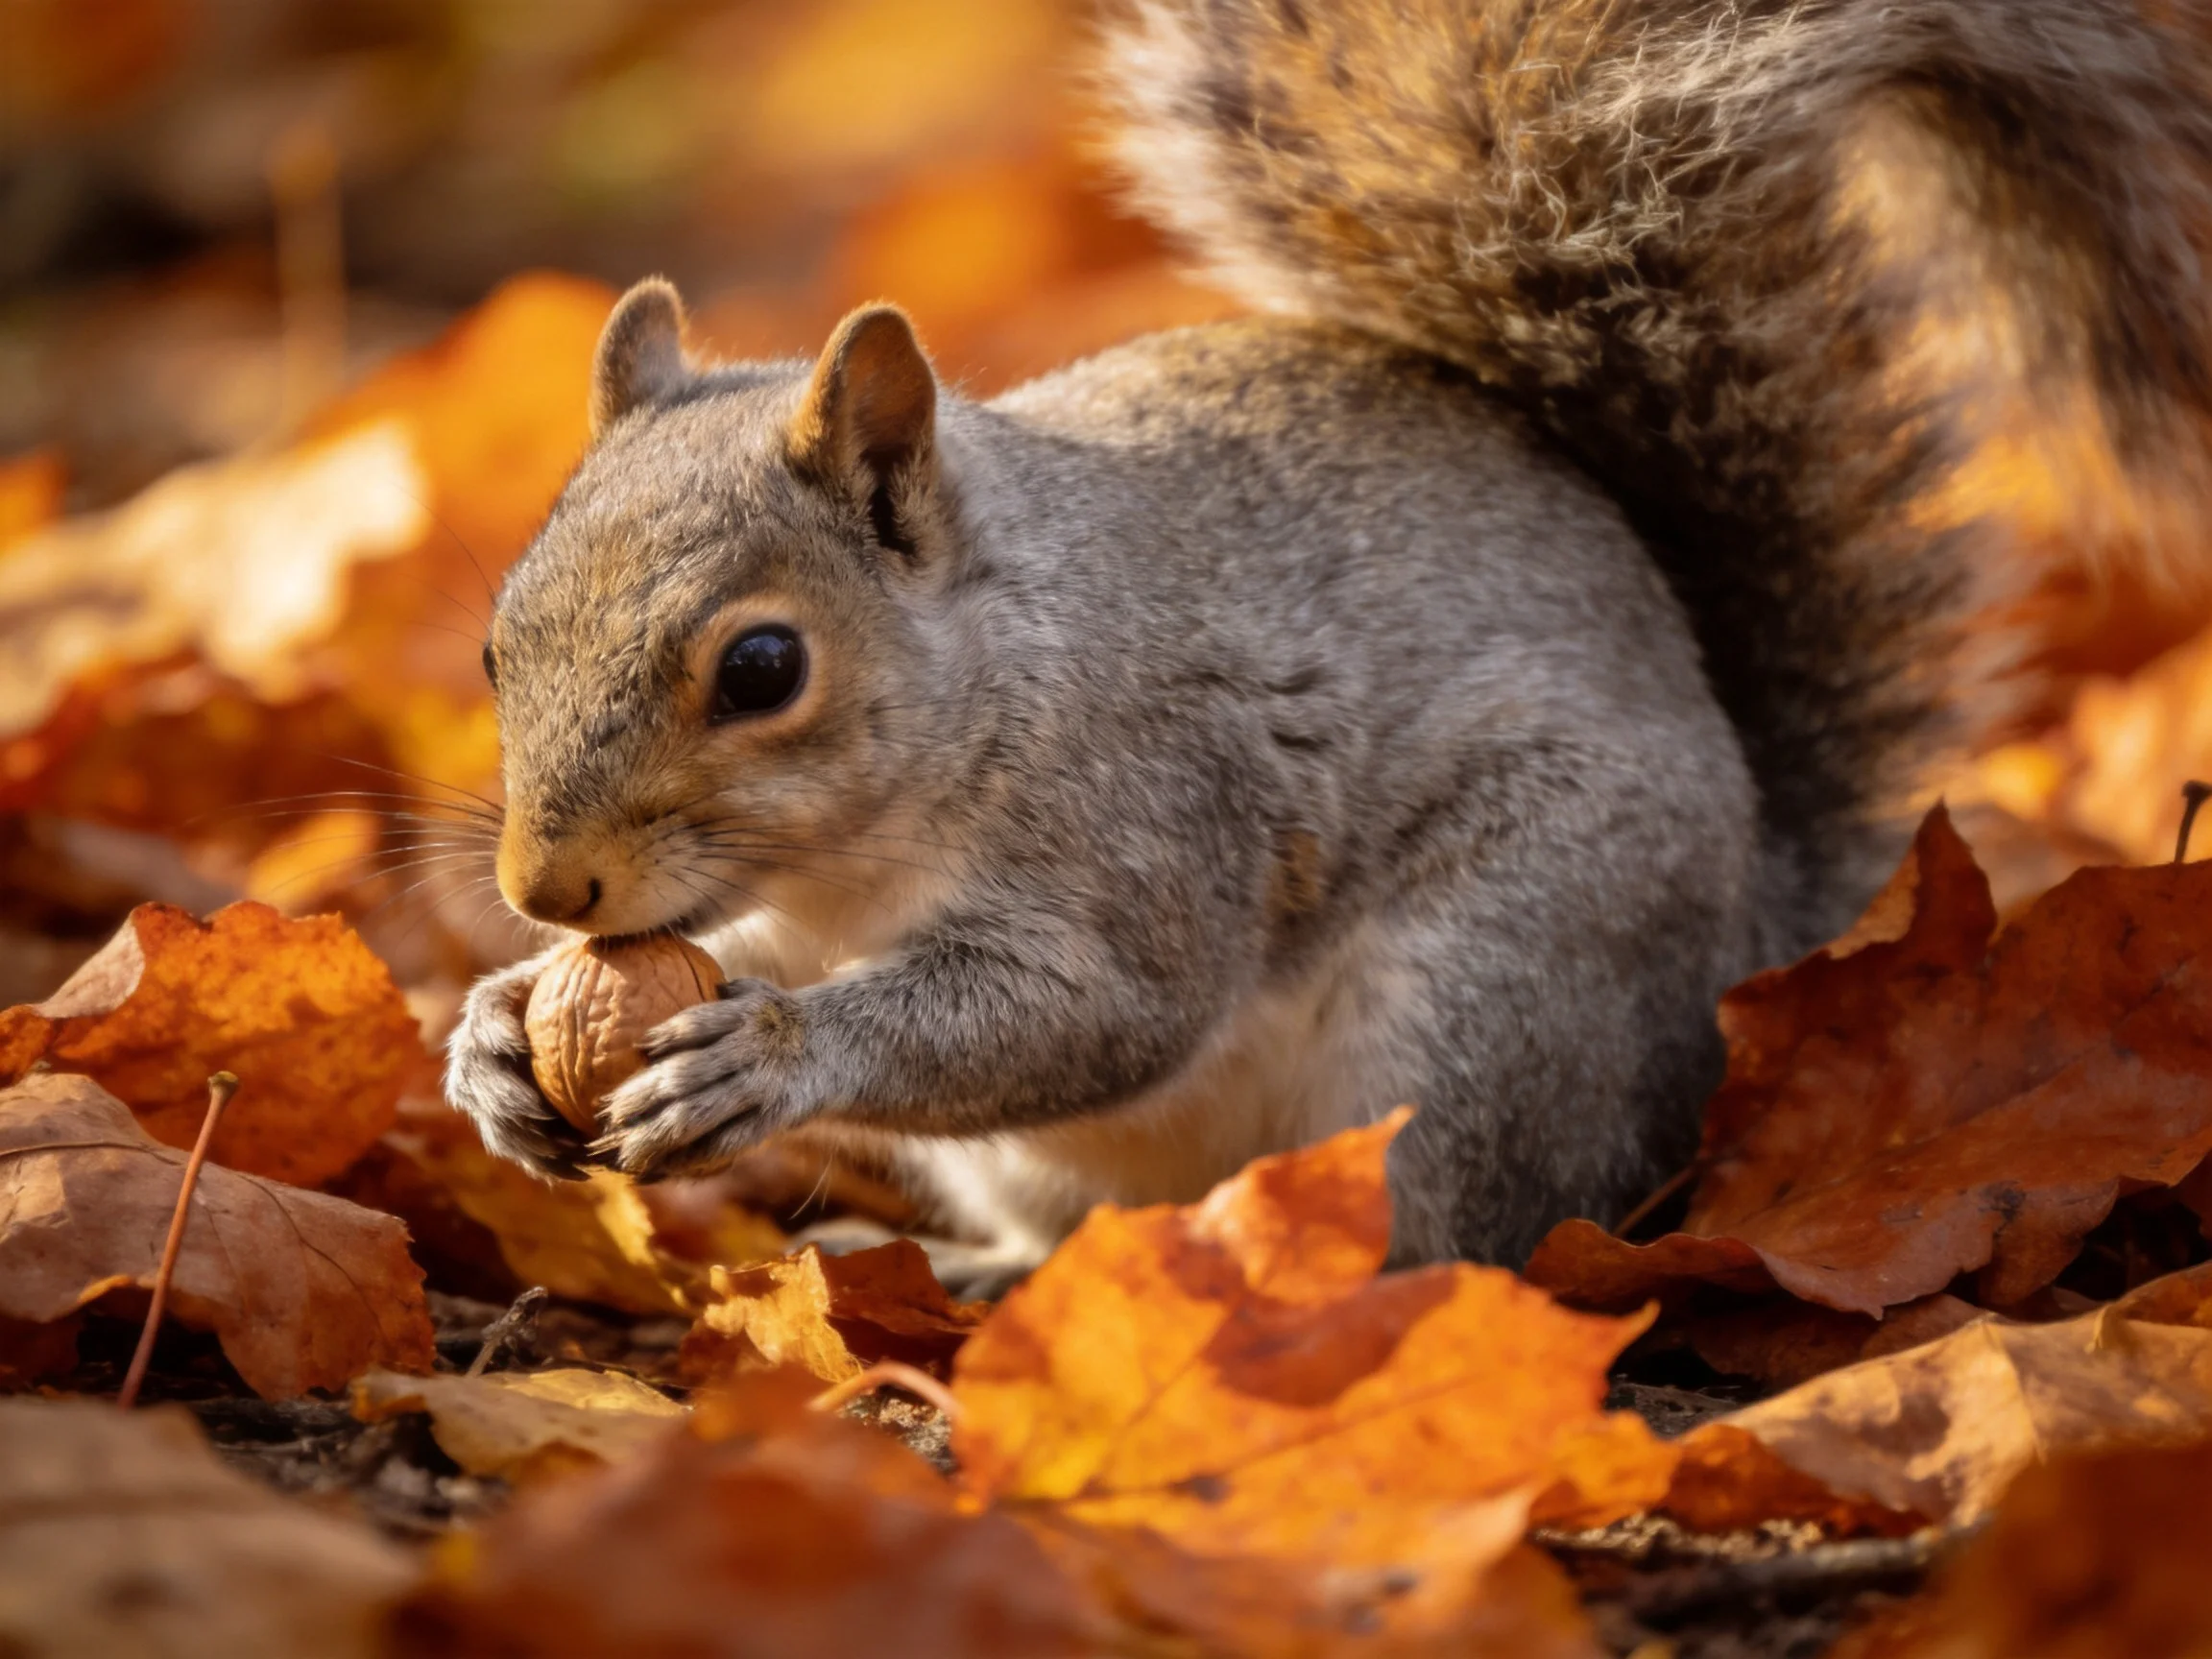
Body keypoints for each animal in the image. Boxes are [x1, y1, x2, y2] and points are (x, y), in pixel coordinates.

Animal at [446, 0, 2212, 1297]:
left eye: (762, 671)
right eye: (490, 645)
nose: (546, 886)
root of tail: (1746, 948)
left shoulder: (1158, 810)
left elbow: (1103, 1010)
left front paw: (770, 1055)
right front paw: (493, 1032)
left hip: (1492, 1000)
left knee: (1469, 1236)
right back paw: (981, 1272)